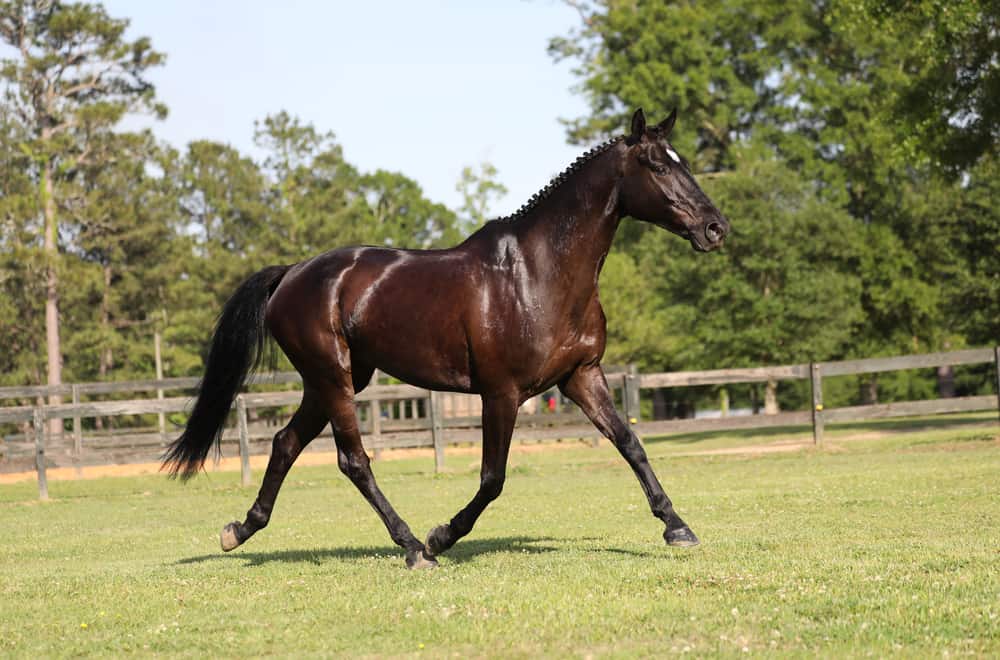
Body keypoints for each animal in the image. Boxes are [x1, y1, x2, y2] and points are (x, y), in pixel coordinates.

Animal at [162, 108, 730, 569]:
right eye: (658, 166)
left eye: (681, 161)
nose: (715, 228)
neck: (539, 272)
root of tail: (291, 274)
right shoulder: (501, 393)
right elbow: (493, 479)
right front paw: (442, 536)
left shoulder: (580, 376)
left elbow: (631, 443)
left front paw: (678, 527)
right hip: (332, 378)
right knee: (353, 461)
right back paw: (414, 547)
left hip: (333, 381)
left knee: (285, 444)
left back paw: (239, 530)